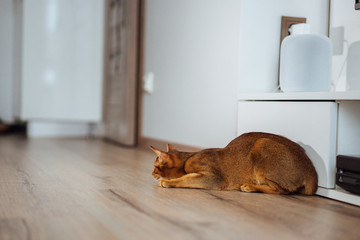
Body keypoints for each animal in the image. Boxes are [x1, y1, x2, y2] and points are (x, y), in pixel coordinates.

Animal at [151, 131, 318, 195]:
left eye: (155, 167)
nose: (152, 174)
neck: (187, 157)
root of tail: (311, 168)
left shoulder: (213, 178)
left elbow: (186, 179)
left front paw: (167, 182)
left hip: (262, 143)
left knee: (281, 190)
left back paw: (249, 186)